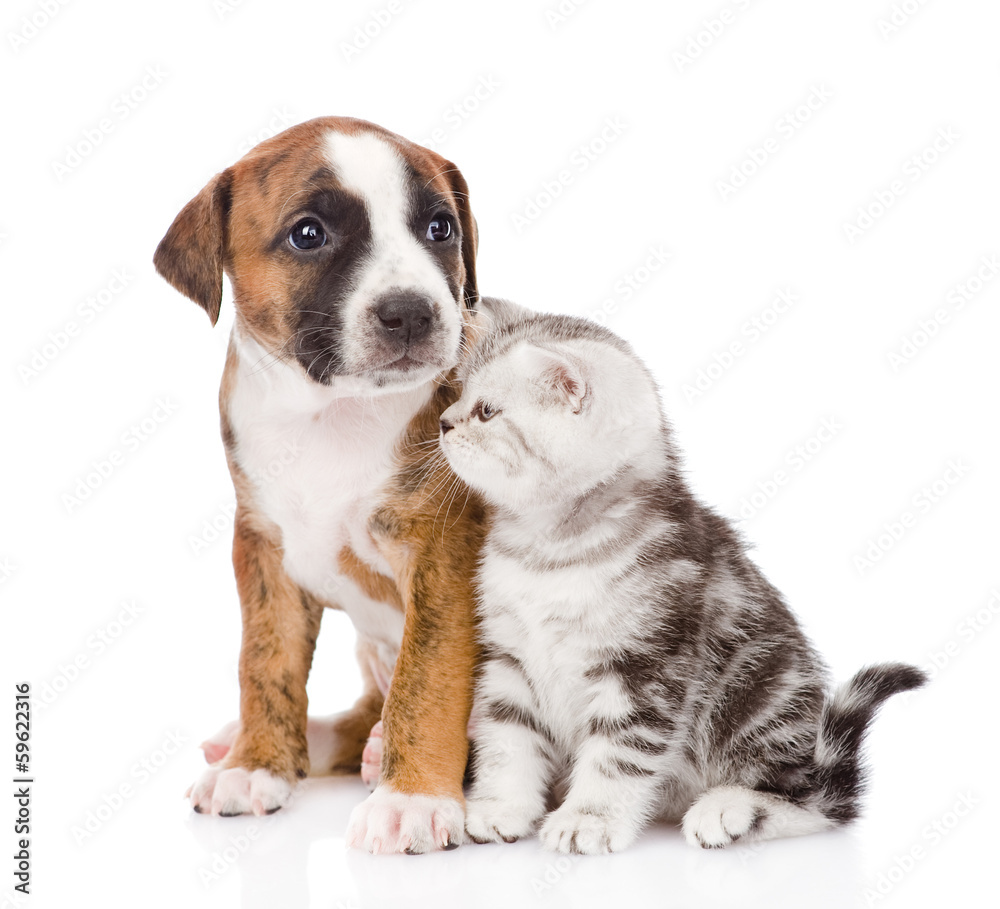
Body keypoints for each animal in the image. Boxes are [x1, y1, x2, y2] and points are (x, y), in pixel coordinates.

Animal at [151, 119, 488, 852]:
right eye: (309, 234)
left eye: (440, 228)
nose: (412, 312)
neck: (332, 414)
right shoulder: (263, 548)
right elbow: (264, 662)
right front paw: (255, 763)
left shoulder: (444, 555)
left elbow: (428, 677)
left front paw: (412, 798)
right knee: (362, 710)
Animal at [442, 304, 924, 852]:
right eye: (457, 395)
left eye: (485, 412)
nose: (442, 422)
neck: (548, 549)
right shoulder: (509, 658)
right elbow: (508, 737)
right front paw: (502, 806)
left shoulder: (647, 664)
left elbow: (619, 754)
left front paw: (589, 818)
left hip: (758, 690)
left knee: (815, 800)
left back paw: (730, 808)